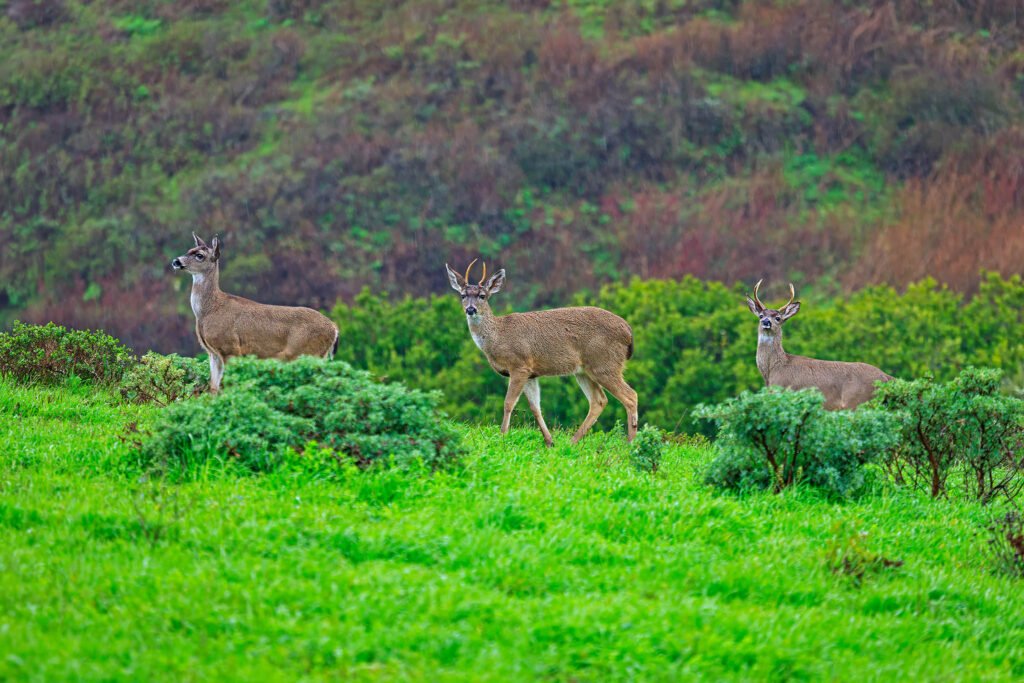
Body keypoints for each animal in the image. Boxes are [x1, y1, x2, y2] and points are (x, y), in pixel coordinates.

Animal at [171, 233, 339, 393]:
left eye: (200, 255)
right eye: (189, 250)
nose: (176, 261)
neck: (209, 311)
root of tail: (335, 328)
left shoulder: (230, 347)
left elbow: (228, 385)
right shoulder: (213, 353)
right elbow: (214, 387)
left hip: (308, 352)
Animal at [445, 259, 639, 447]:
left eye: (482, 296)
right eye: (462, 295)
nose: (471, 309)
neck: (498, 336)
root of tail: (629, 331)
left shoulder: (519, 364)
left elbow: (508, 403)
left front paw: (502, 436)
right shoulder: (531, 373)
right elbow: (535, 407)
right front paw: (549, 441)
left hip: (605, 363)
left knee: (630, 396)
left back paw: (630, 443)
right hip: (584, 370)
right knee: (598, 401)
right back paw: (573, 442)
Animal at [745, 279, 893, 410]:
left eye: (778, 318)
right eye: (760, 315)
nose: (766, 322)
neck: (773, 370)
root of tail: (886, 377)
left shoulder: (784, 392)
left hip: (858, 401)